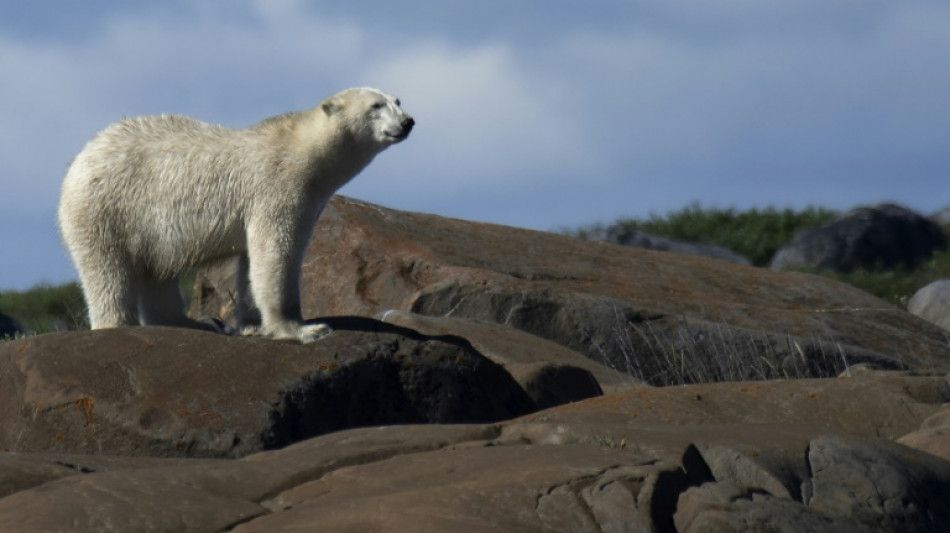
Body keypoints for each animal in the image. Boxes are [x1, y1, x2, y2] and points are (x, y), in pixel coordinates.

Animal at [57, 87, 414, 340]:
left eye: (397, 100)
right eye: (376, 105)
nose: (407, 122)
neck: (301, 150)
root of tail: (79, 160)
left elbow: (249, 263)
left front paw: (253, 325)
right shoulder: (277, 189)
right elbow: (276, 255)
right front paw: (303, 329)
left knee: (155, 274)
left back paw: (197, 323)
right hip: (106, 209)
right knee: (108, 272)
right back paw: (118, 324)